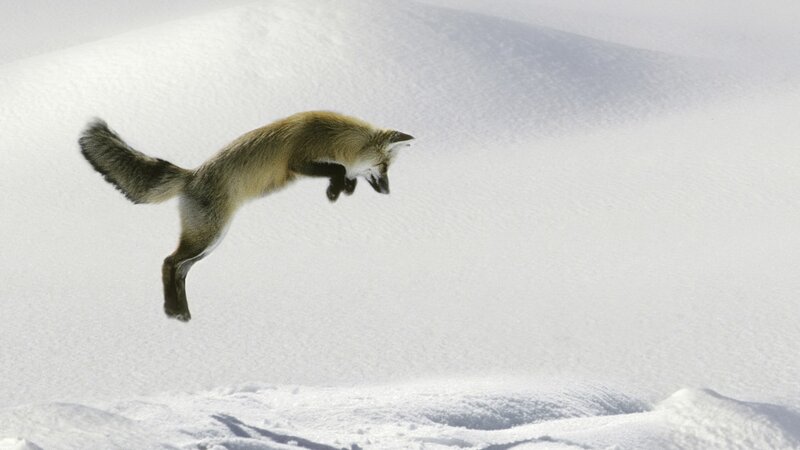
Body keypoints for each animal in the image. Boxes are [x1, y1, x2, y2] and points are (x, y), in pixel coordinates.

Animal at [79, 111, 413, 322]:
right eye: (384, 167)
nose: (387, 192)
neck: (333, 136)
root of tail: (192, 176)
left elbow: (345, 174)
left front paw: (343, 189)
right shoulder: (297, 161)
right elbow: (339, 169)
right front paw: (336, 190)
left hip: (210, 242)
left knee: (181, 270)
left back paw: (181, 314)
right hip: (208, 236)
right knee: (169, 262)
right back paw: (174, 311)